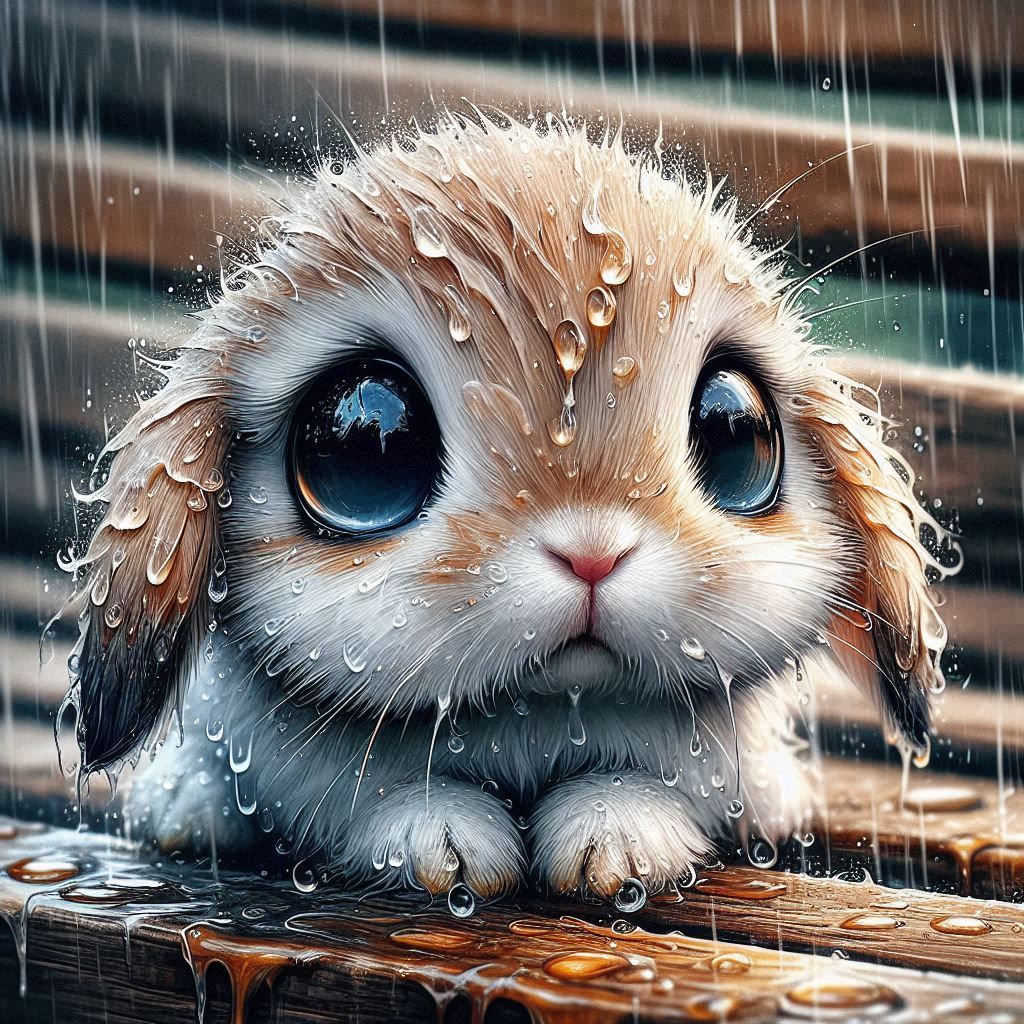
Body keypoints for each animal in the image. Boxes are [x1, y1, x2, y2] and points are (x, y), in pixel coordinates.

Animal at [59, 111, 954, 908]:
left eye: (737, 430)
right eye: (364, 446)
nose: (592, 553)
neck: (541, 714)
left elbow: (655, 787)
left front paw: (615, 843)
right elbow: (368, 797)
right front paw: (446, 847)